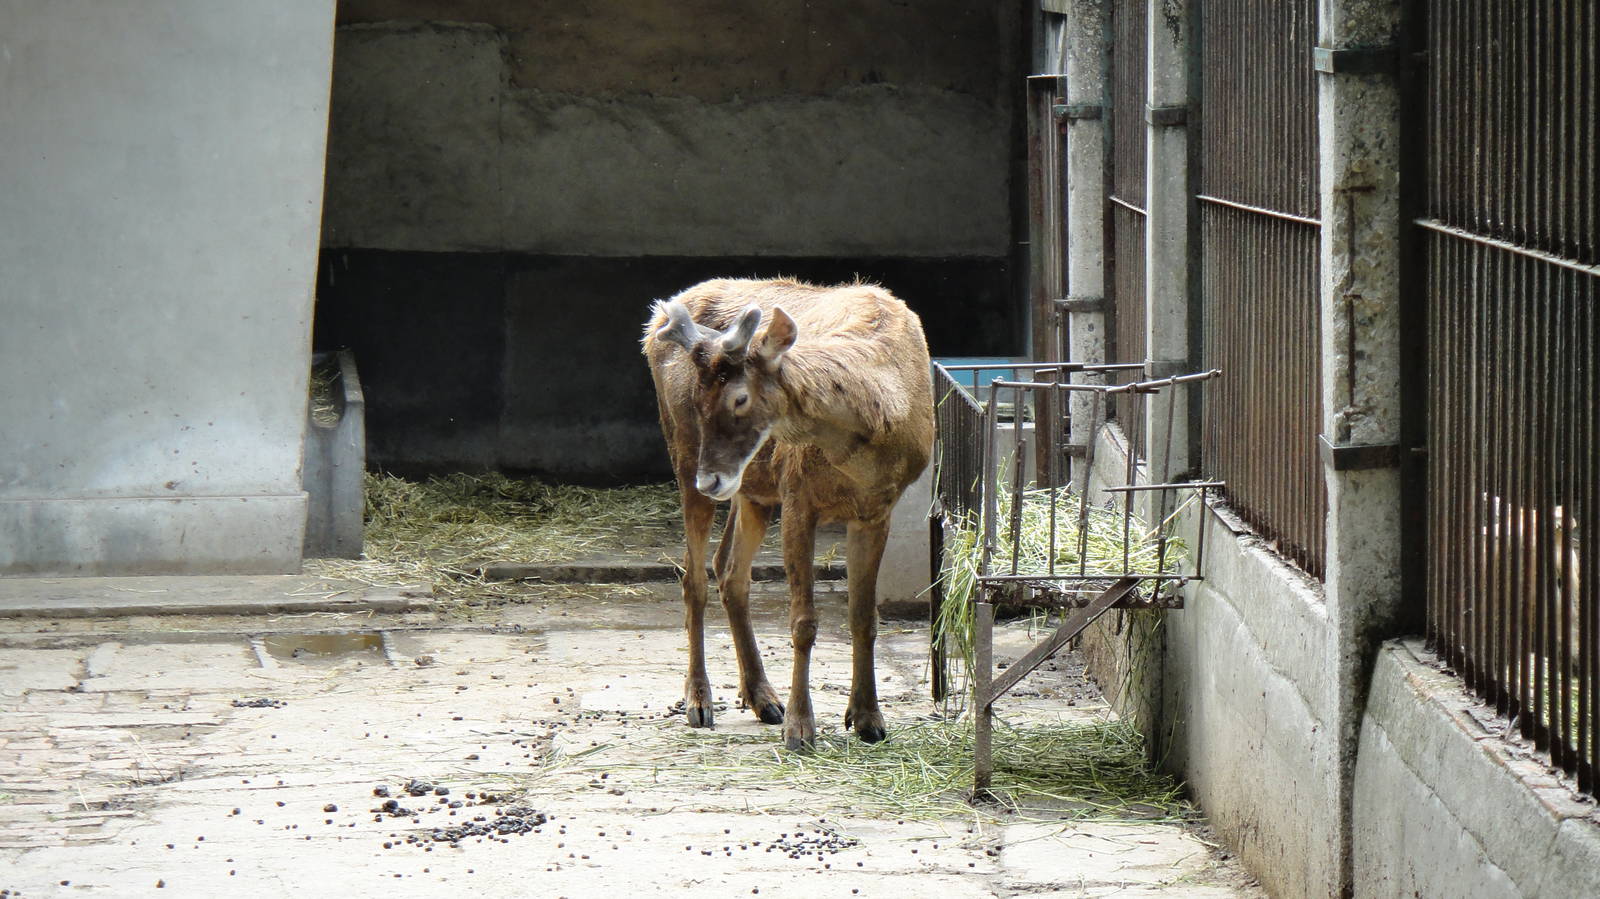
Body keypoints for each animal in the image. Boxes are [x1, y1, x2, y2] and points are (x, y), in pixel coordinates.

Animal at [641, 277, 934, 750]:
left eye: (740, 398)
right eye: (699, 402)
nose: (711, 480)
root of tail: (658, 321)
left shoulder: (877, 508)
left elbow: (864, 617)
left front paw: (868, 718)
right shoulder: (798, 495)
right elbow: (803, 621)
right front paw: (801, 728)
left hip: (753, 489)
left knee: (730, 571)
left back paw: (763, 698)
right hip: (683, 451)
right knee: (694, 577)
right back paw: (700, 701)